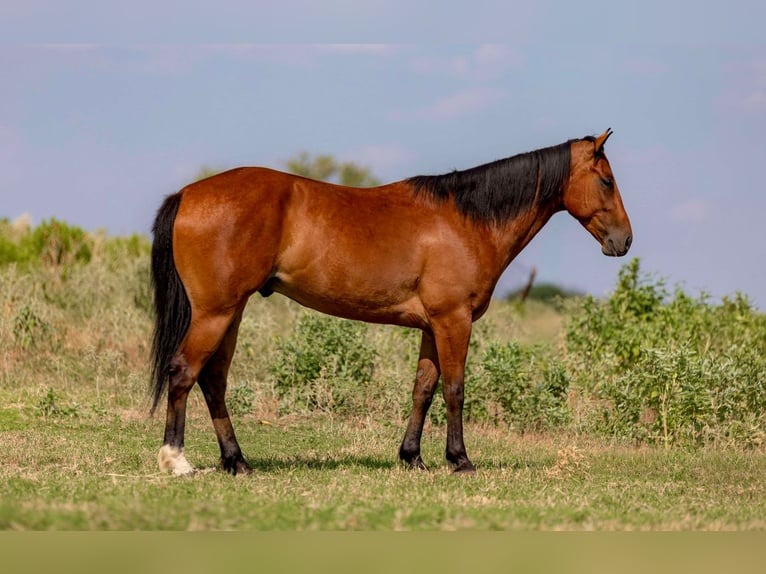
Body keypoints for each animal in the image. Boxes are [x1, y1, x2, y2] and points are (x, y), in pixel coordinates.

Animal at [150, 128, 632, 475]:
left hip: (231, 313)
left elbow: (423, 389)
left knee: (213, 380)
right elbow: (455, 388)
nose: (624, 241)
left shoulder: (432, 326)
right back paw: (177, 460)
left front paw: (412, 457)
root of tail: (188, 194)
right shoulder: (453, 320)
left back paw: (237, 462)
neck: (466, 221)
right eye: (606, 180)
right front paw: (460, 460)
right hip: (215, 313)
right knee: (184, 372)